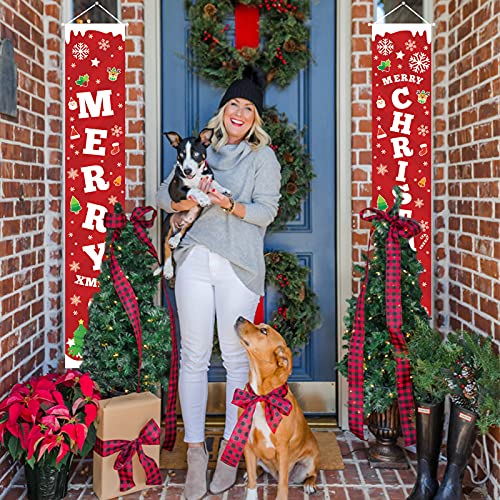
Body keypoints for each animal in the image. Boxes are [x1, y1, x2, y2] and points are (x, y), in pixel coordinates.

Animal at [160, 127, 230, 280]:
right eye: (181, 154)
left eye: (196, 154)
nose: (187, 170)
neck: (195, 176)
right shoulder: (176, 190)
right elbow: (193, 189)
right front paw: (203, 198)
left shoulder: (207, 177)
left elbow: (213, 183)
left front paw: (223, 190)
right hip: (168, 222)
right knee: (166, 247)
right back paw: (168, 270)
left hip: (193, 219)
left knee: (182, 231)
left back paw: (175, 240)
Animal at [234, 316, 320, 500]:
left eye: (264, 331)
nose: (239, 317)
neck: (261, 394)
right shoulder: (248, 445)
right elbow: (252, 481)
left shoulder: (282, 448)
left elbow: (282, 485)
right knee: (256, 471)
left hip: (310, 461)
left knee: (312, 474)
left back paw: (310, 484)